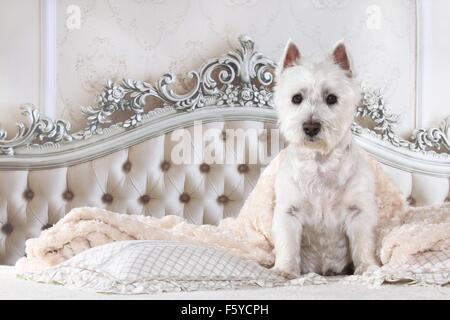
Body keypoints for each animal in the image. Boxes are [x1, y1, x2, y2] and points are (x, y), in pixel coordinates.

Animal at [270, 40, 380, 278]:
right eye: (296, 98)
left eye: (331, 98)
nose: (311, 127)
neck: (320, 161)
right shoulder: (289, 212)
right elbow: (287, 244)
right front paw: (285, 270)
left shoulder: (359, 211)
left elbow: (363, 243)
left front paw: (368, 267)